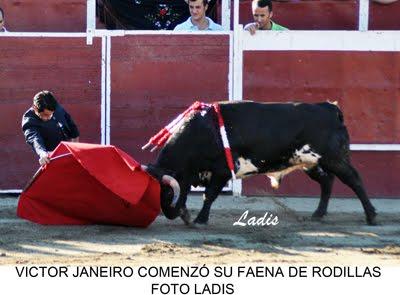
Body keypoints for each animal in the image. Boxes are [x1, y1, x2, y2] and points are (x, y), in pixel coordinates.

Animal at [145, 102, 376, 227]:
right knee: (327, 182)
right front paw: (187, 214)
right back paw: (318, 214)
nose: (169, 213)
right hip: (310, 162)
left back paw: (371, 216)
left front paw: (201, 219)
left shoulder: (221, 171)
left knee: (354, 179)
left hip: (334, 158)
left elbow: (208, 195)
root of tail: (330, 108)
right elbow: (188, 192)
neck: (202, 132)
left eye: (166, 192)